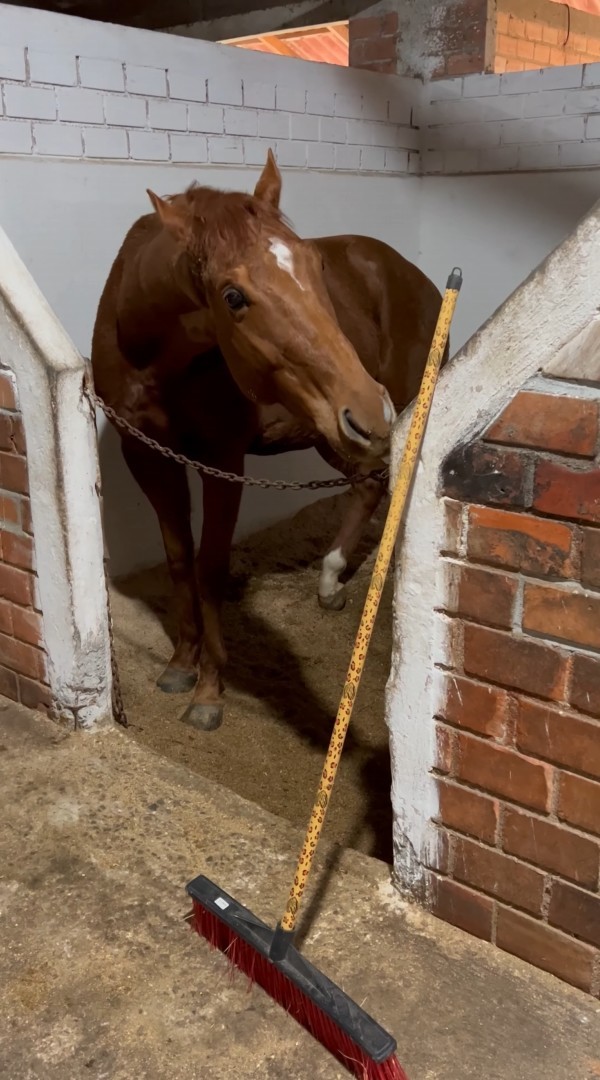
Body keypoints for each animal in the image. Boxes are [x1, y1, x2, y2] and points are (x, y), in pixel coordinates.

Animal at [92, 147, 444, 730]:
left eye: (317, 267)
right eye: (233, 296)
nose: (374, 409)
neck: (149, 349)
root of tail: (421, 279)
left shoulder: (223, 461)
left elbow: (211, 568)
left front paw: (209, 691)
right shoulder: (147, 455)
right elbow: (178, 560)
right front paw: (180, 664)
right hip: (331, 431)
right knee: (367, 486)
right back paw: (329, 583)